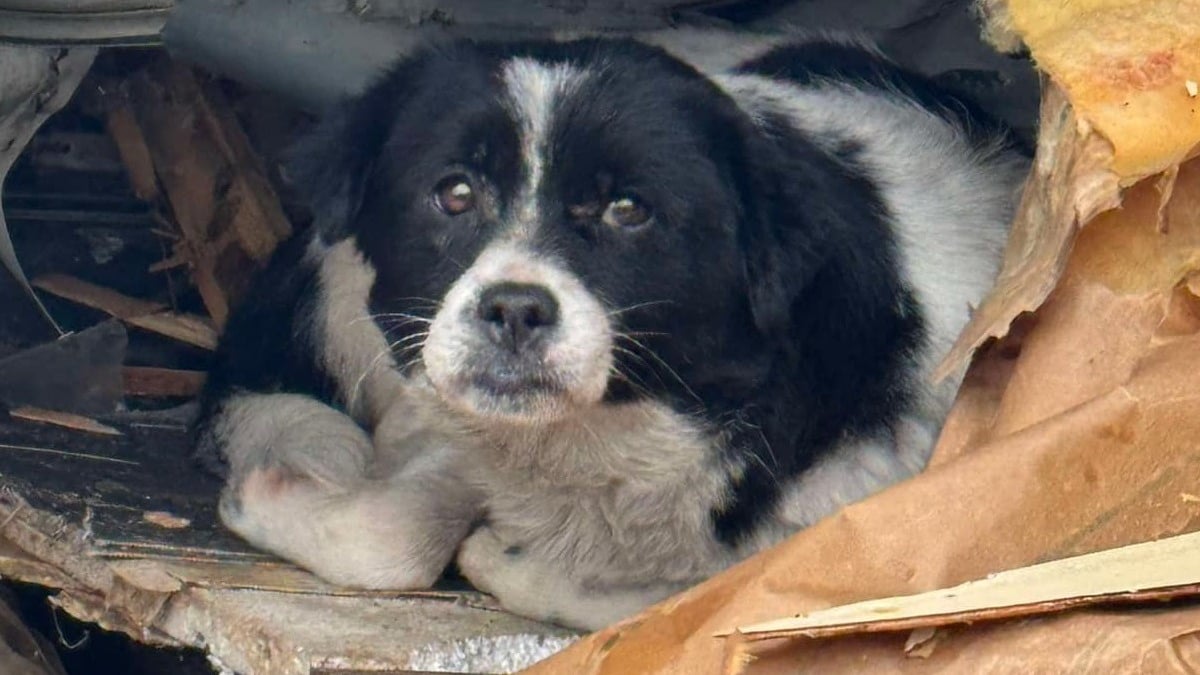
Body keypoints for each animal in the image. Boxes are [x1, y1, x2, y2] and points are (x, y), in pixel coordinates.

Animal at [192, 30, 1027, 629]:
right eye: (454, 192)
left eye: (629, 209)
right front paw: (272, 490)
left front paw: (506, 553)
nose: (515, 309)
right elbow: (395, 531)